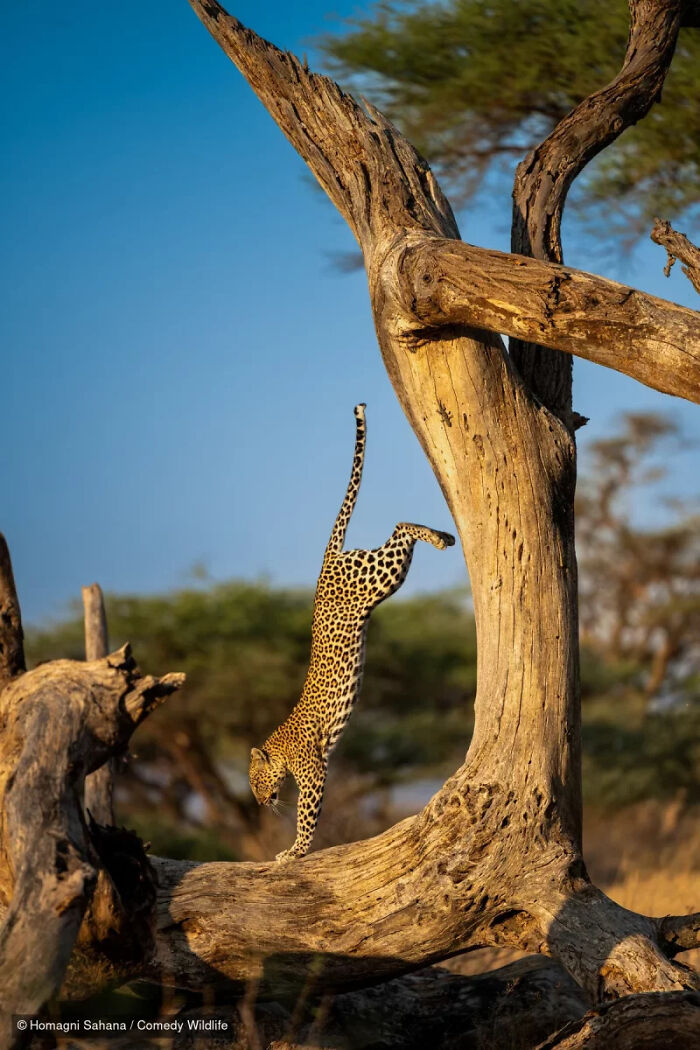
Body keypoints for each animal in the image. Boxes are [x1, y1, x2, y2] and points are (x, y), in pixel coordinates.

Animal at [249, 403, 455, 861]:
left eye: (255, 782)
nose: (259, 803)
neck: (280, 746)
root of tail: (326, 563)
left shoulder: (313, 771)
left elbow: (307, 817)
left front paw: (293, 852)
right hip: (380, 579)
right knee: (397, 530)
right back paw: (446, 535)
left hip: (376, 577)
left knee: (399, 526)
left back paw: (438, 538)